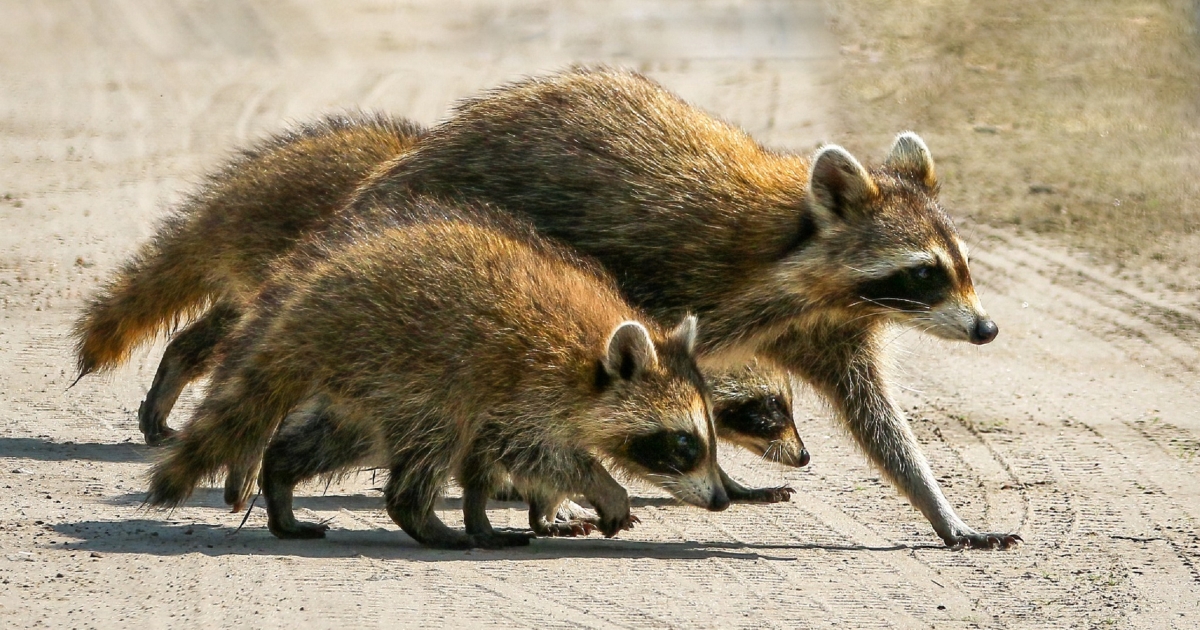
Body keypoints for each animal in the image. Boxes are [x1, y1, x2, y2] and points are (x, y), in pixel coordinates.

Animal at [146, 203, 730, 548]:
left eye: (709, 436)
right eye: (684, 444)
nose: (723, 499)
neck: (591, 357)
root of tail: (311, 303)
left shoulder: (506, 399)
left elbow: (488, 461)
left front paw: (502, 515)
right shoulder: (526, 385)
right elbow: (536, 453)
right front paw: (600, 486)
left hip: (367, 384)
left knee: (337, 437)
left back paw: (281, 480)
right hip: (407, 364)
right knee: (432, 440)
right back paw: (420, 516)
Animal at [348, 67, 1016, 548]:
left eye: (964, 264)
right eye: (925, 272)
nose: (987, 329)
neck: (808, 274)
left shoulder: (828, 328)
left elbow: (876, 420)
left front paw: (940, 509)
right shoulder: (674, 288)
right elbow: (614, 398)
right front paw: (563, 494)